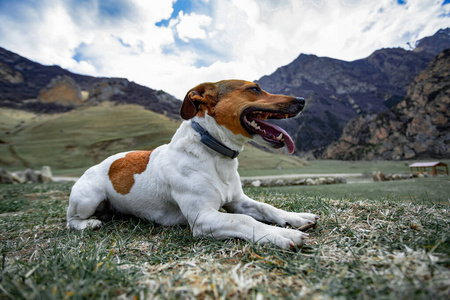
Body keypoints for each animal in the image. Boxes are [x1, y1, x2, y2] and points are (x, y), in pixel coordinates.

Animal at [67, 79, 320, 248]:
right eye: (254, 89)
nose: (301, 100)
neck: (214, 154)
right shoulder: (203, 217)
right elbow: (244, 220)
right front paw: (282, 235)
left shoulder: (238, 201)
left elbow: (266, 208)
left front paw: (296, 218)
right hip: (88, 198)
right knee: (71, 221)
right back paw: (89, 224)